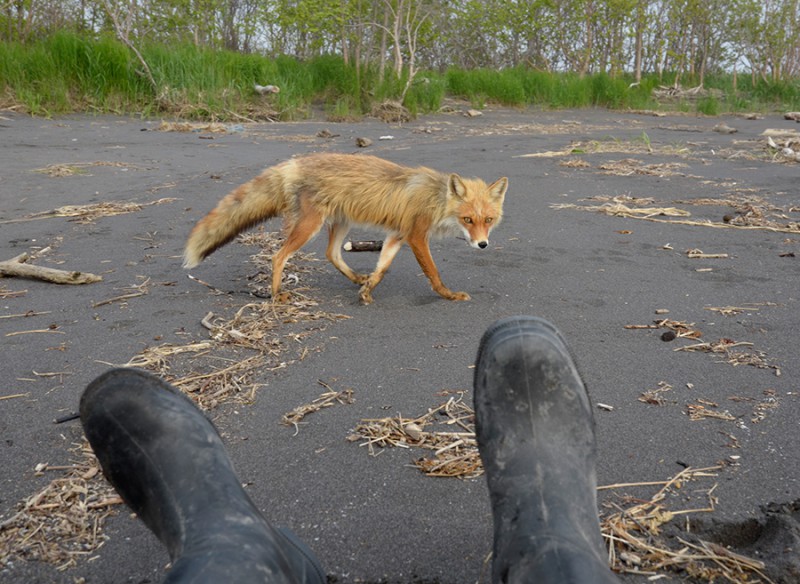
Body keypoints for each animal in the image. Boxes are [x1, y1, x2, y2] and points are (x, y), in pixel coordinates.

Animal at [183, 153, 506, 304]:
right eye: (468, 220)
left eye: (488, 220)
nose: (483, 245)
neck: (436, 200)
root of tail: (294, 163)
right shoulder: (416, 235)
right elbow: (433, 273)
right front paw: (448, 295)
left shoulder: (396, 235)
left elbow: (382, 268)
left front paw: (367, 289)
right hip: (309, 226)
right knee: (278, 256)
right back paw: (276, 295)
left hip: (341, 223)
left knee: (331, 254)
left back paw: (355, 278)